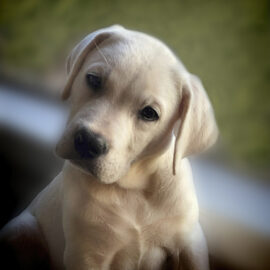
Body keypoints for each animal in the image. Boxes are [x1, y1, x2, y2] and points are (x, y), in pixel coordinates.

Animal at [0, 25, 217, 270]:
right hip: (19, 228)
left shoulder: (191, 242)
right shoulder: (87, 255)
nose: (89, 141)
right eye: (93, 80)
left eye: (149, 113)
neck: (132, 187)